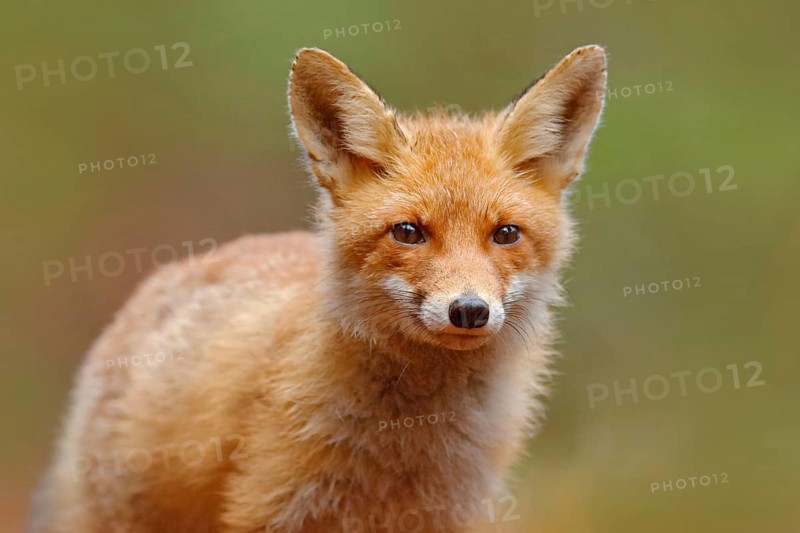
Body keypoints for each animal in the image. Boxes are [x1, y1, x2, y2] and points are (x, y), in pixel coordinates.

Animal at [30, 45, 607, 532]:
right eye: (408, 232)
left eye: (506, 234)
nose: (469, 310)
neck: (410, 441)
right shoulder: (273, 508)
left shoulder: (450, 513)